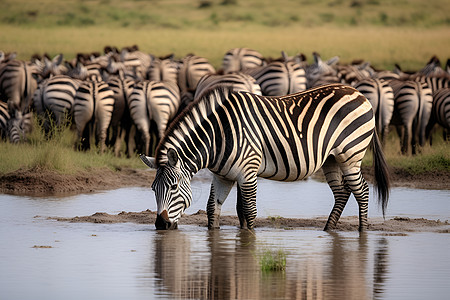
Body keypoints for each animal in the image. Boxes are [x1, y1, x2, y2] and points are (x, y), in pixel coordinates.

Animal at [141, 83, 390, 231]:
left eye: (173, 187)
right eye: (153, 189)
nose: (161, 225)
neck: (219, 136)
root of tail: (358, 93)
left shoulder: (248, 172)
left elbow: (249, 212)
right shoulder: (224, 176)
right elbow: (215, 209)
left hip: (351, 155)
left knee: (362, 191)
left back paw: (363, 231)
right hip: (331, 159)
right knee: (342, 192)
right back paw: (328, 229)